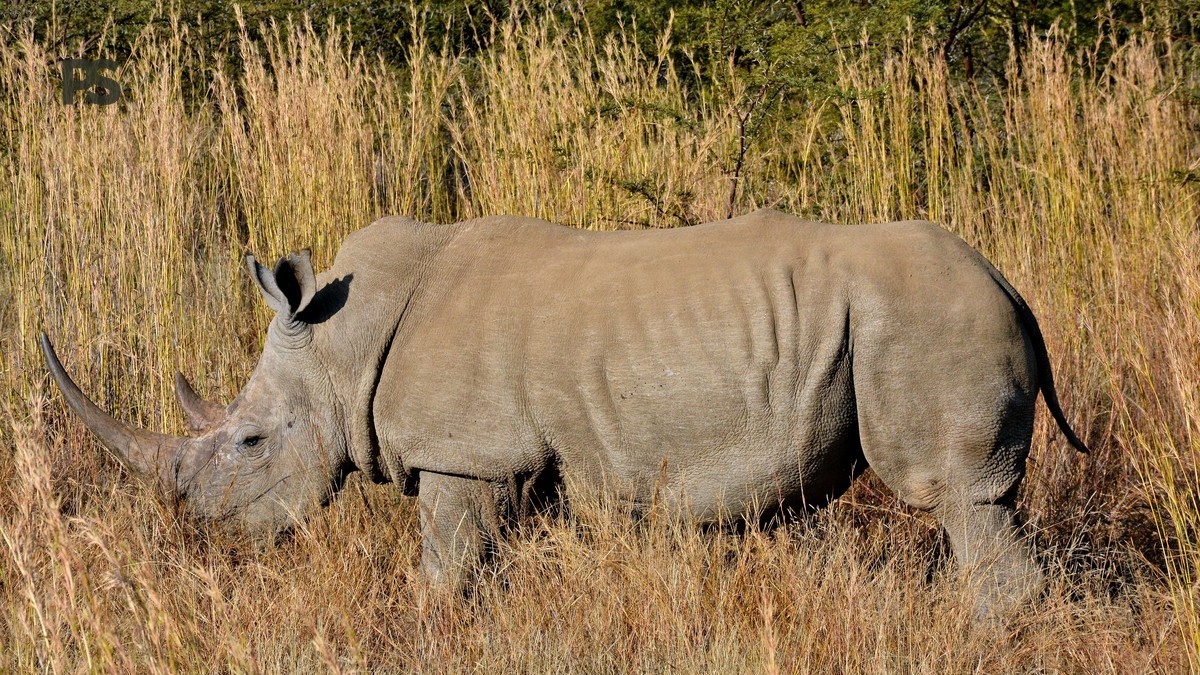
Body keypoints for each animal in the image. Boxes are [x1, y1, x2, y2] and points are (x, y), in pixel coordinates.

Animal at [42, 208, 1088, 619]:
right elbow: (485, 569)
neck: (341, 345)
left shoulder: (467, 457)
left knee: (957, 499)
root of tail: (1013, 286)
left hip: (927, 320)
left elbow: (444, 574)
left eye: (251, 441)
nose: (195, 530)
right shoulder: (512, 464)